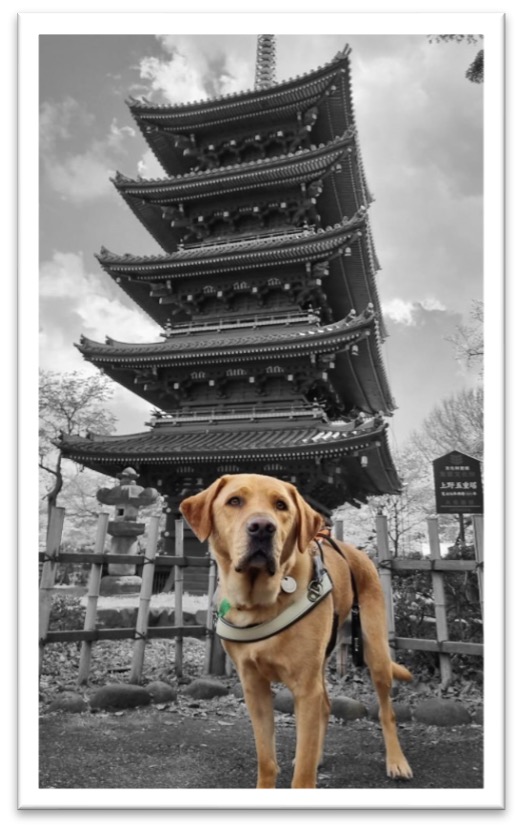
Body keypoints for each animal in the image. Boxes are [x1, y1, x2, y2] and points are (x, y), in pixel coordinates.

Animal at [182, 472, 412, 784]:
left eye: (281, 505)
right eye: (234, 501)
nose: (262, 528)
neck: (261, 602)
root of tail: (357, 552)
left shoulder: (305, 687)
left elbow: (302, 772)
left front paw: (306, 769)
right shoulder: (253, 686)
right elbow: (267, 759)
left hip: (374, 650)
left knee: (386, 711)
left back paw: (397, 762)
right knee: (326, 705)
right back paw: (321, 756)